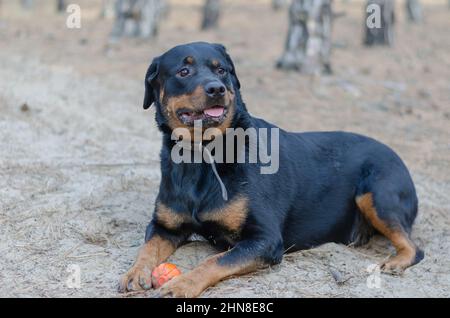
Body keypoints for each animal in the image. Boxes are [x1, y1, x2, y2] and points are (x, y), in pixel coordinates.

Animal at [118, 42, 424, 298]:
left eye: (221, 70)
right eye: (184, 71)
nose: (217, 88)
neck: (203, 156)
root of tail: (395, 154)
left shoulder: (264, 238)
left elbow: (214, 260)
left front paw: (181, 284)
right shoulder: (164, 226)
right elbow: (147, 248)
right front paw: (134, 272)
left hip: (376, 194)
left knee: (414, 248)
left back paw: (397, 261)